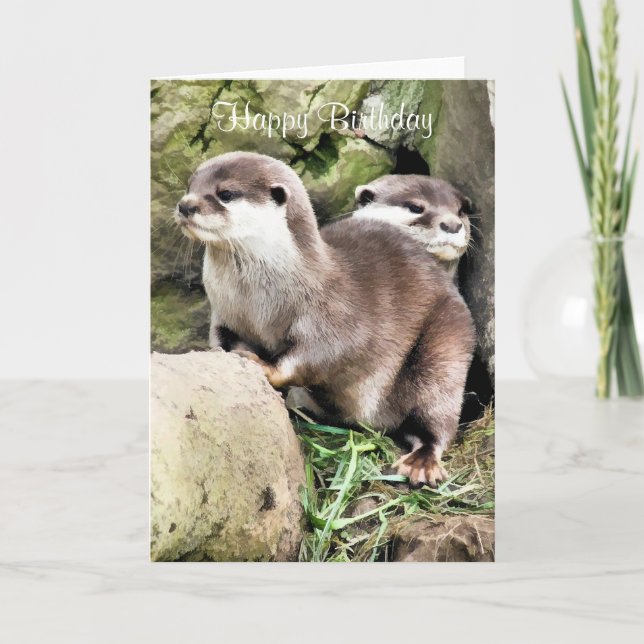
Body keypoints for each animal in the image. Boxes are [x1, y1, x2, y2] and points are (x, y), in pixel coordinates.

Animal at [175, 152, 475, 487]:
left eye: (225, 193)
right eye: (190, 186)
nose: (185, 205)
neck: (258, 302)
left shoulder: (335, 313)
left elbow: (324, 354)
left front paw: (265, 366)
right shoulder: (224, 315)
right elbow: (221, 339)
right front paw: (219, 354)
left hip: (445, 344)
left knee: (437, 413)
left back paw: (421, 462)